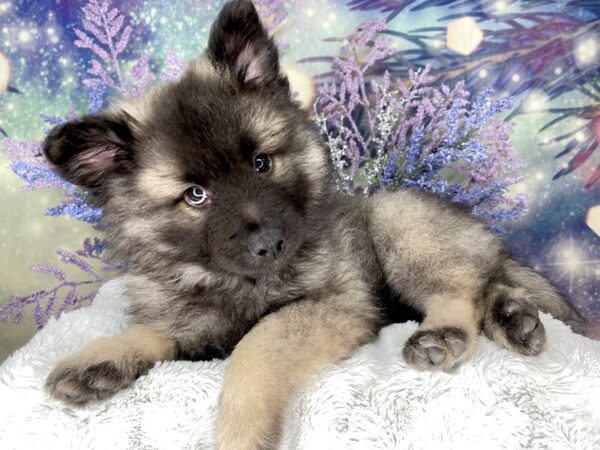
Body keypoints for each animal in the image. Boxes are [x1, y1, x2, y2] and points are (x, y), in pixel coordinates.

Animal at [42, 1, 584, 448]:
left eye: (262, 163)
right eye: (195, 194)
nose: (271, 243)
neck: (229, 281)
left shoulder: (332, 305)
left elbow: (255, 351)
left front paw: (240, 435)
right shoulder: (192, 323)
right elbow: (157, 331)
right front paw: (102, 357)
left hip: (397, 219)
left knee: (460, 289)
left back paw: (446, 333)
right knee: (484, 283)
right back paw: (514, 318)